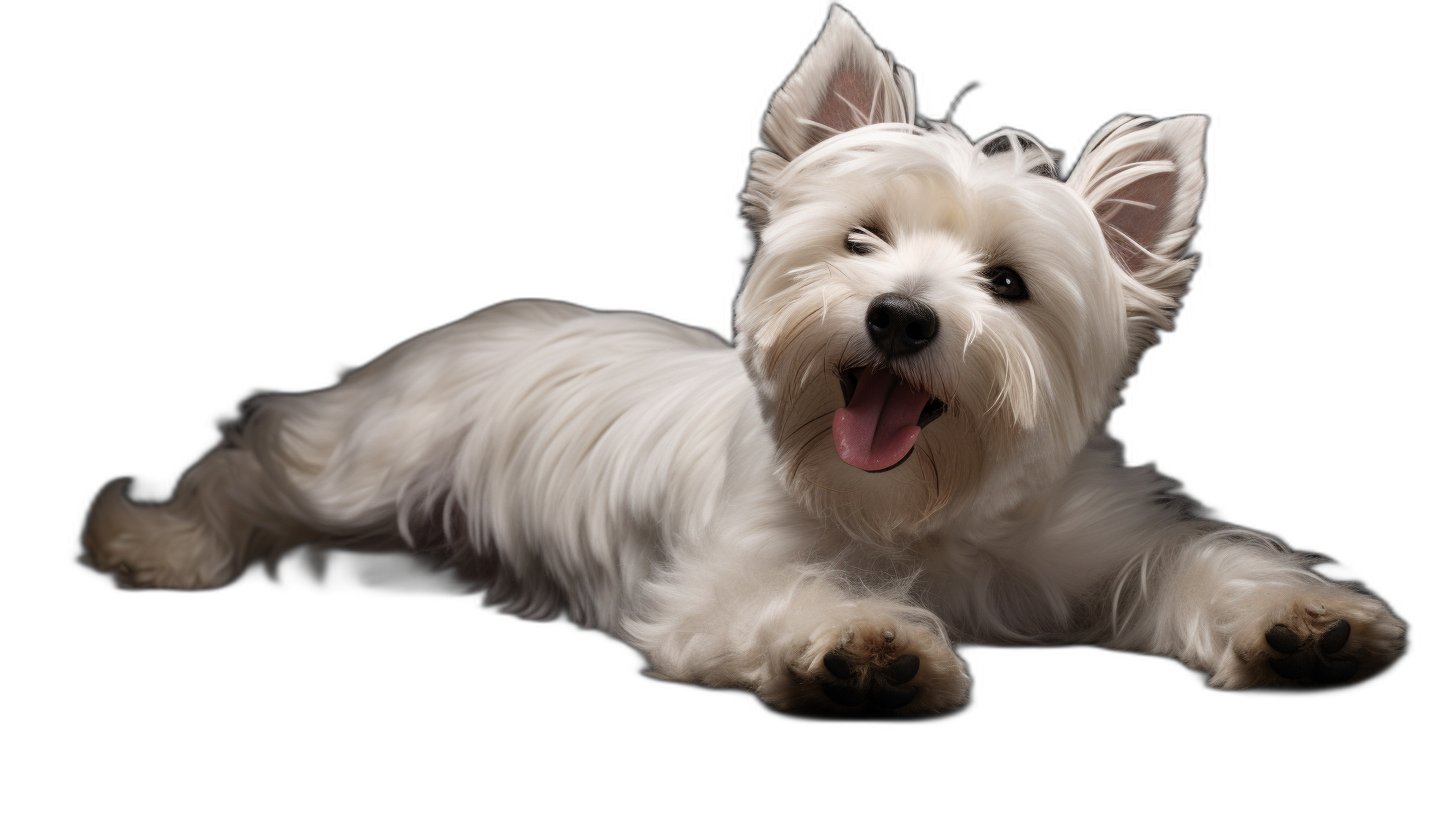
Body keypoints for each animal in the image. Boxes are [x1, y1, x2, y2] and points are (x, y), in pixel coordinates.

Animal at [79, 6, 1397, 711]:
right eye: (859, 239)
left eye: (1009, 286)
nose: (899, 319)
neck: (922, 514)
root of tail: (478, 318)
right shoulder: (722, 579)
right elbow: (790, 600)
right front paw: (867, 646)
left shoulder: (1095, 543)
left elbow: (1199, 561)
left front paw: (1304, 623)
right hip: (364, 460)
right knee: (251, 468)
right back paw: (147, 541)